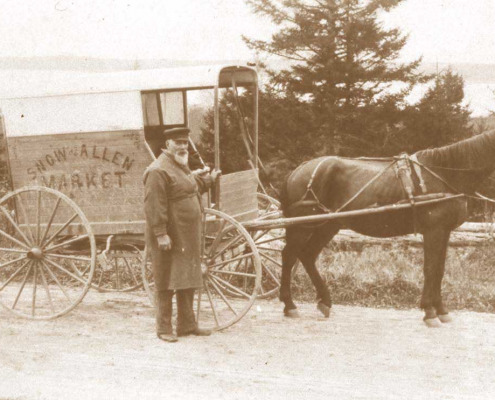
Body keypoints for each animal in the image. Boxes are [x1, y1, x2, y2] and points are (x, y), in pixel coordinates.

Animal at [280, 130, 495, 326]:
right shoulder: (433, 231)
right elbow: (430, 269)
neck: (444, 174)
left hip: (329, 225)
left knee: (307, 255)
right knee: (289, 255)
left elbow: (439, 270)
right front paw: (429, 311)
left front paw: (441, 310)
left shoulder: (444, 231)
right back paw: (289, 305)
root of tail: (298, 170)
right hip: (302, 225)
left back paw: (324, 301)